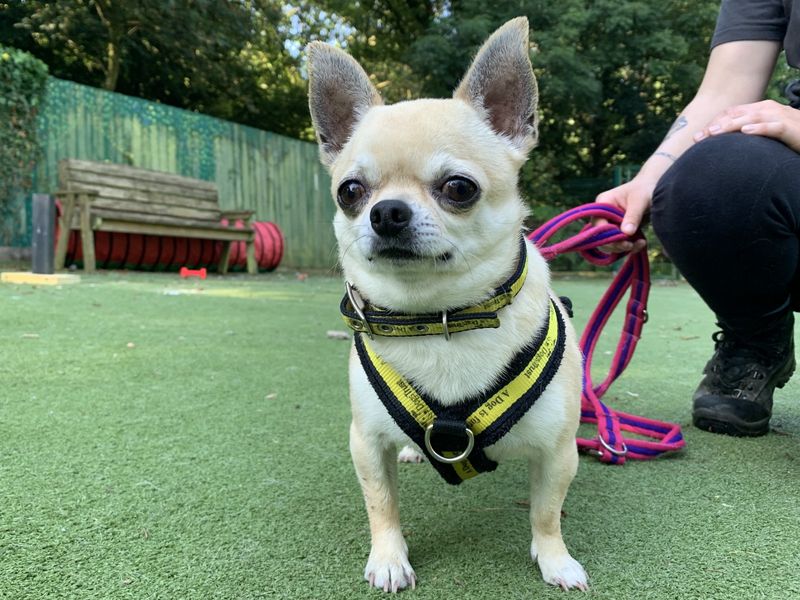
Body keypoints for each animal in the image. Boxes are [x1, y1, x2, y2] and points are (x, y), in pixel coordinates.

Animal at [306, 16, 588, 592]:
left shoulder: (557, 452)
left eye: (459, 188)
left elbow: (546, 511)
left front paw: (555, 560)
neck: (437, 318)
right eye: (350, 192)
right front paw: (389, 559)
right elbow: (381, 505)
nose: (386, 212)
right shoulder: (365, 443)